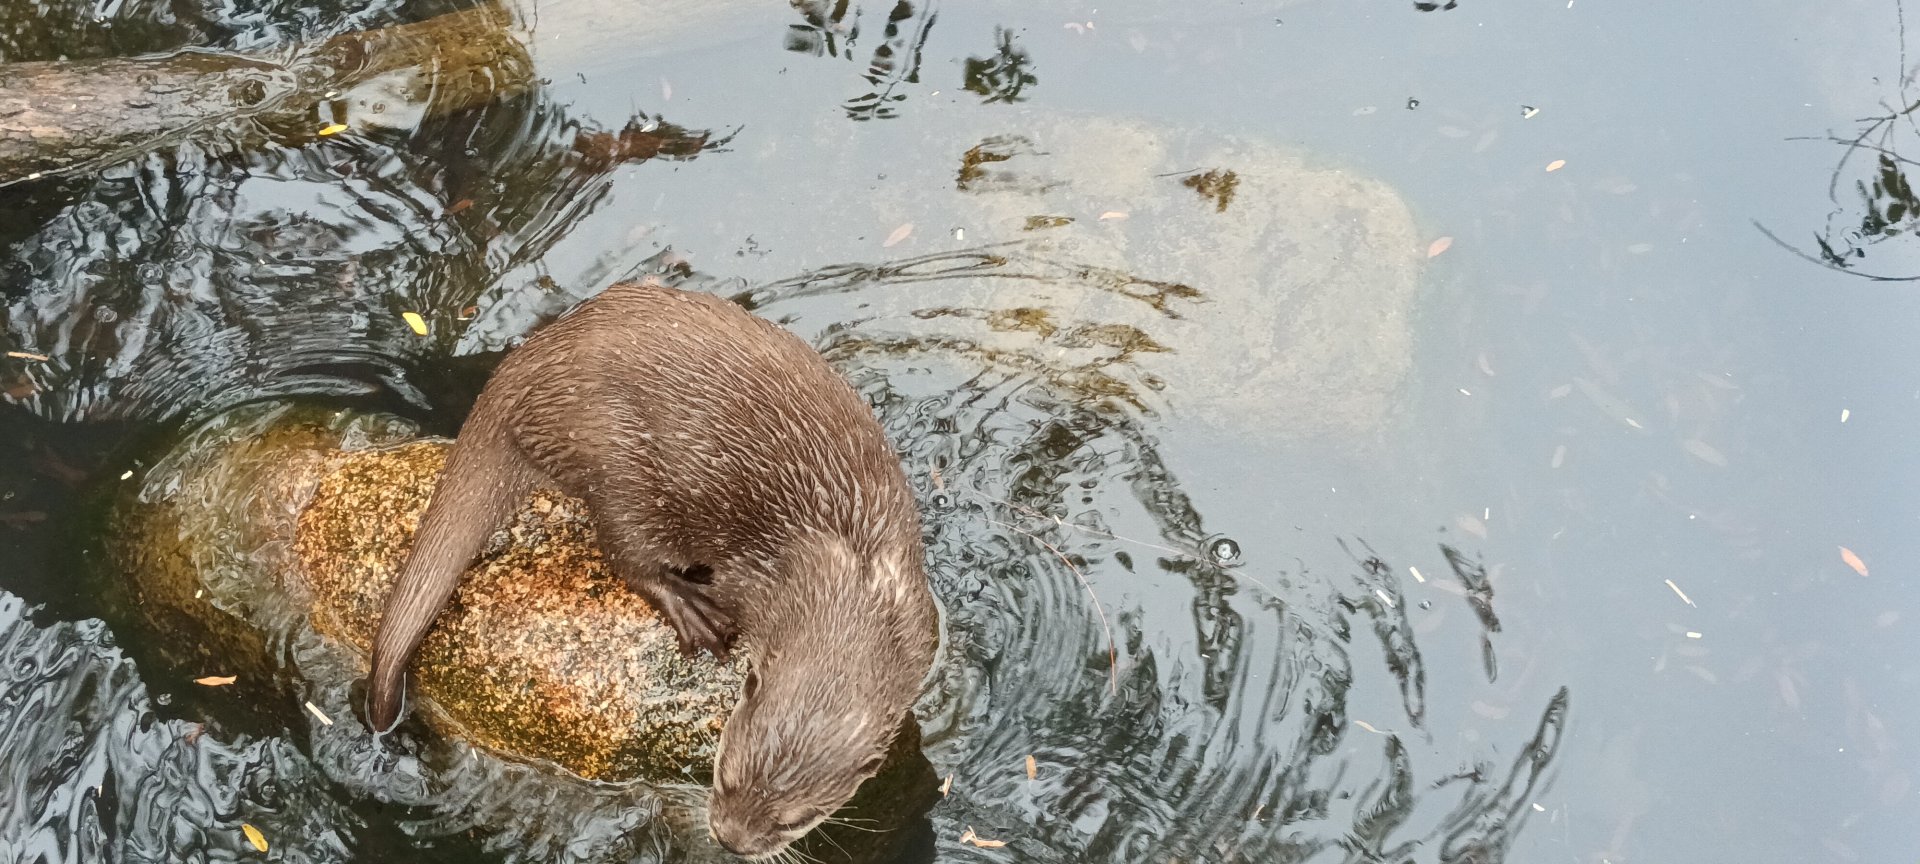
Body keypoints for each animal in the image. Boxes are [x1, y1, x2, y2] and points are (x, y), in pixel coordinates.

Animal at [364, 280, 940, 859]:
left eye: (794, 819)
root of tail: (528, 369)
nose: (730, 839)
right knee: (627, 552)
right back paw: (690, 607)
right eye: (725, 775)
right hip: (618, 465)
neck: (853, 576)